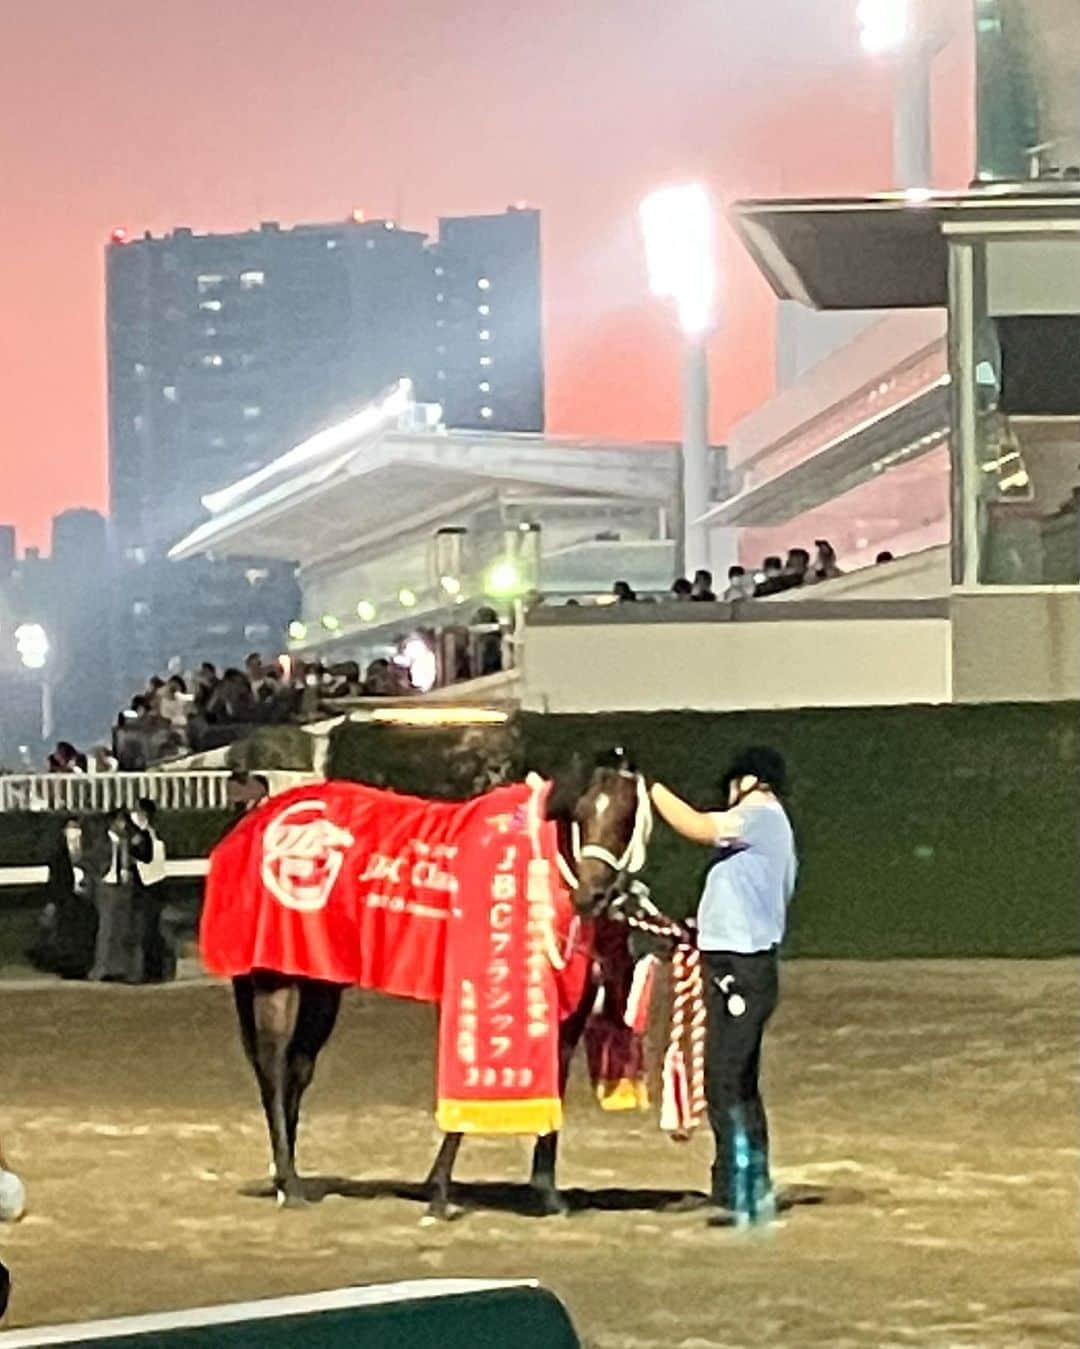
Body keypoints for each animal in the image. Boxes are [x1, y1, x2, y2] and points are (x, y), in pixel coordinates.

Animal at [226, 755, 649, 1219]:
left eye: (627, 816)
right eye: (581, 812)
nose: (591, 895)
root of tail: (255, 822)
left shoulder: (566, 1012)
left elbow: (553, 1082)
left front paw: (546, 1193)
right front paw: (439, 1195)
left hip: (322, 983)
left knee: (297, 1068)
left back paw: (286, 1179)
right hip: (275, 981)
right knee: (273, 1066)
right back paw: (290, 1184)